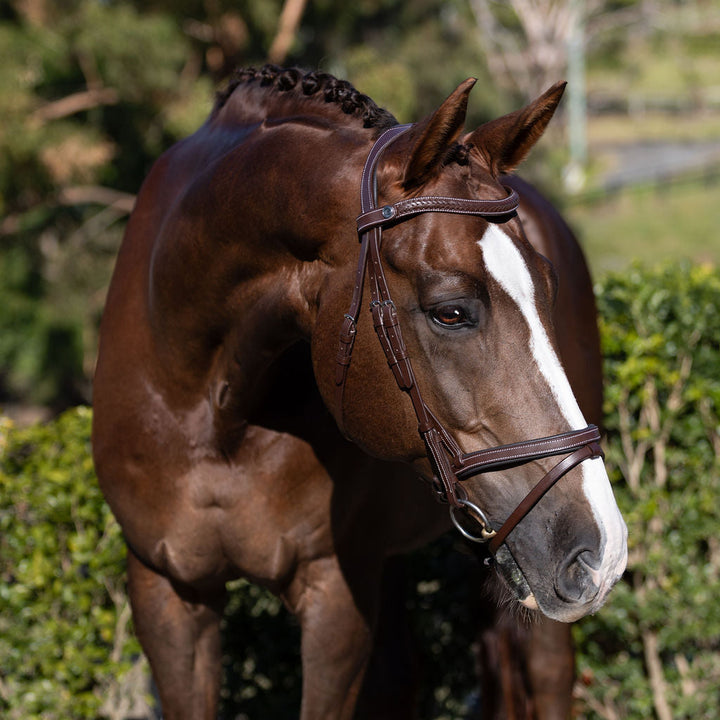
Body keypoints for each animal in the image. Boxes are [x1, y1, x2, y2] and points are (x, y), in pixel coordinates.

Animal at [92, 65, 627, 719]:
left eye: (546, 290)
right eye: (450, 311)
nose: (601, 549)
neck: (212, 411)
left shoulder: (333, 596)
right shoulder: (167, 592)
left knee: (548, 672)